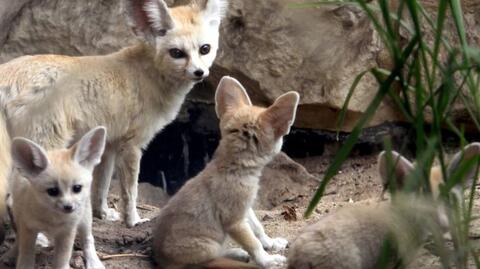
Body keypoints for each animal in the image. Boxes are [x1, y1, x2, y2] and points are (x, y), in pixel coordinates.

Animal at [0, 0, 227, 227]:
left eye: (205, 49)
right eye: (177, 53)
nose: (199, 73)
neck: (149, 75)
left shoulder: (109, 144)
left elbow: (102, 186)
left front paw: (102, 213)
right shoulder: (132, 145)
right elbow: (130, 191)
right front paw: (133, 220)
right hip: (46, 145)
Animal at [3, 126, 107, 268]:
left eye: (77, 188)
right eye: (52, 191)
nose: (68, 207)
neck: (53, 221)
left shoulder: (67, 232)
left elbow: (61, 260)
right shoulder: (28, 228)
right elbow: (25, 256)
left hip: (85, 218)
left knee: (88, 239)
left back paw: (94, 262)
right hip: (18, 216)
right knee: (18, 239)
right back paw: (11, 254)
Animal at [153, 76, 300, 268]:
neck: (234, 167)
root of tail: (158, 258)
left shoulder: (245, 208)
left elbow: (258, 229)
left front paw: (271, 243)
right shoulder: (234, 221)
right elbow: (253, 243)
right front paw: (267, 260)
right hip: (209, 246)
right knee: (208, 261)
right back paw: (237, 255)